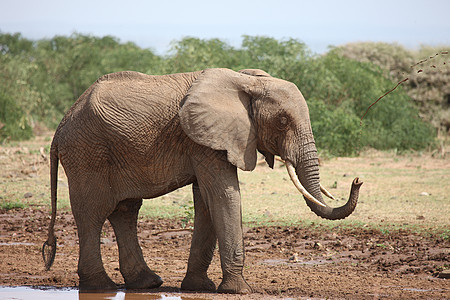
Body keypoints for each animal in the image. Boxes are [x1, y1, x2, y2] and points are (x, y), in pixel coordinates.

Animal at [43, 67, 362, 292]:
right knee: (93, 213)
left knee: (125, 211)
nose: (357, 181)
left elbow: (207, 201)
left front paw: (200, 287)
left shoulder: (206, 140)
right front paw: (240, 290)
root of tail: (60, 126)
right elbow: (224, 194)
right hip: (87, 153)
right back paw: (100, 286)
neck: (248, 82)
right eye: (283, 122)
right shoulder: (204, 139)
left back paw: (147, 283)